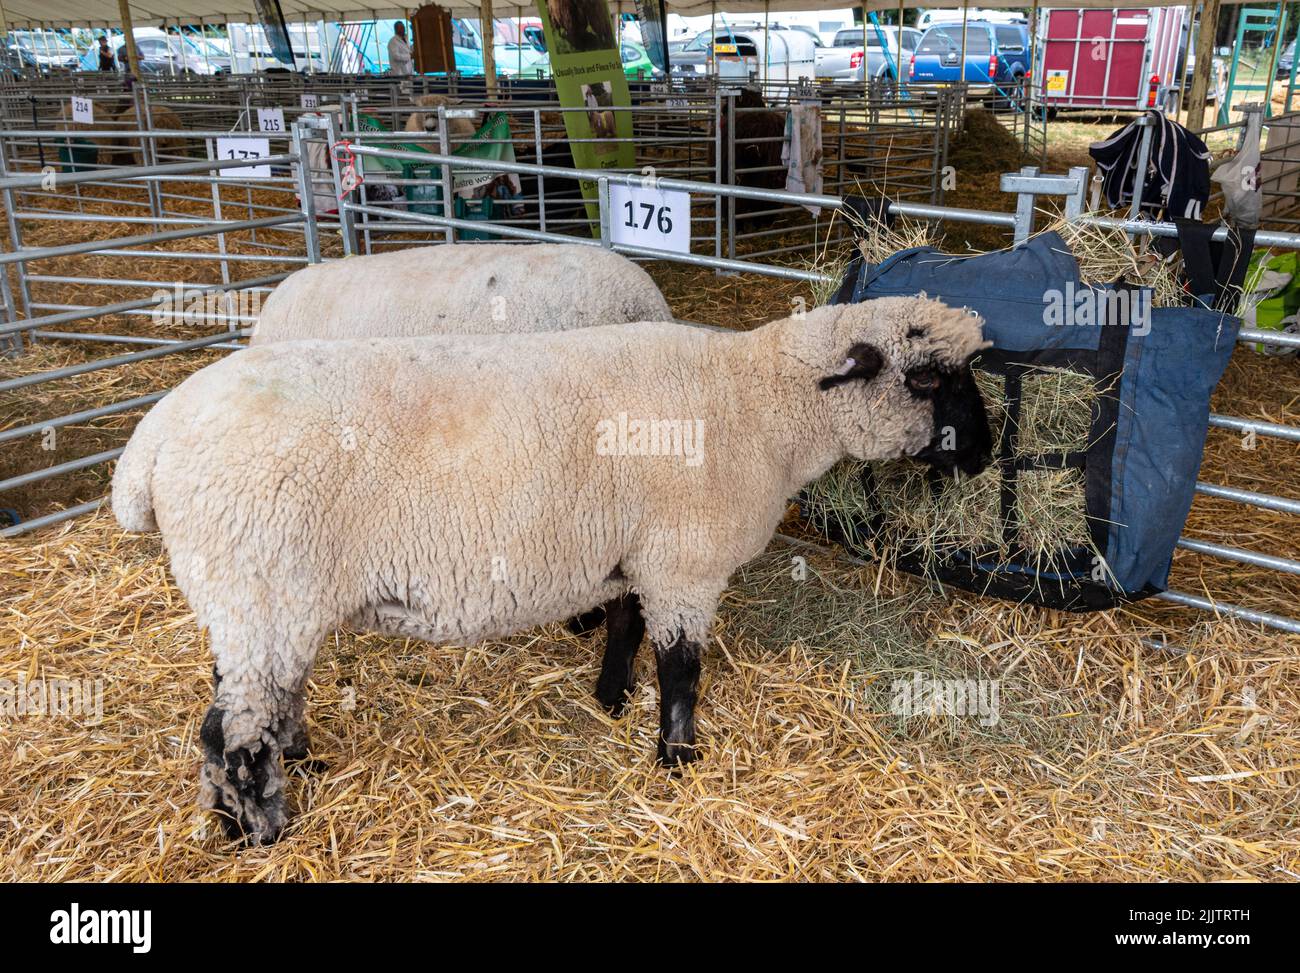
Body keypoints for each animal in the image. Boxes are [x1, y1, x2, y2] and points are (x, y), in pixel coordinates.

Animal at [111, 296, 987, 842]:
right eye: (927, 378)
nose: (982, 453)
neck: (760, 405)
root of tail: (148, 447)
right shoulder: (683, 560)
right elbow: (682, 668)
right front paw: (678, 758)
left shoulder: (637, 549)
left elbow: (627, 625)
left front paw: (610, 697)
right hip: (261, 585)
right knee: (227, 731)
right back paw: (259, 830)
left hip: (256, 601)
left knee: (256, 699)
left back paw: (297, 760)